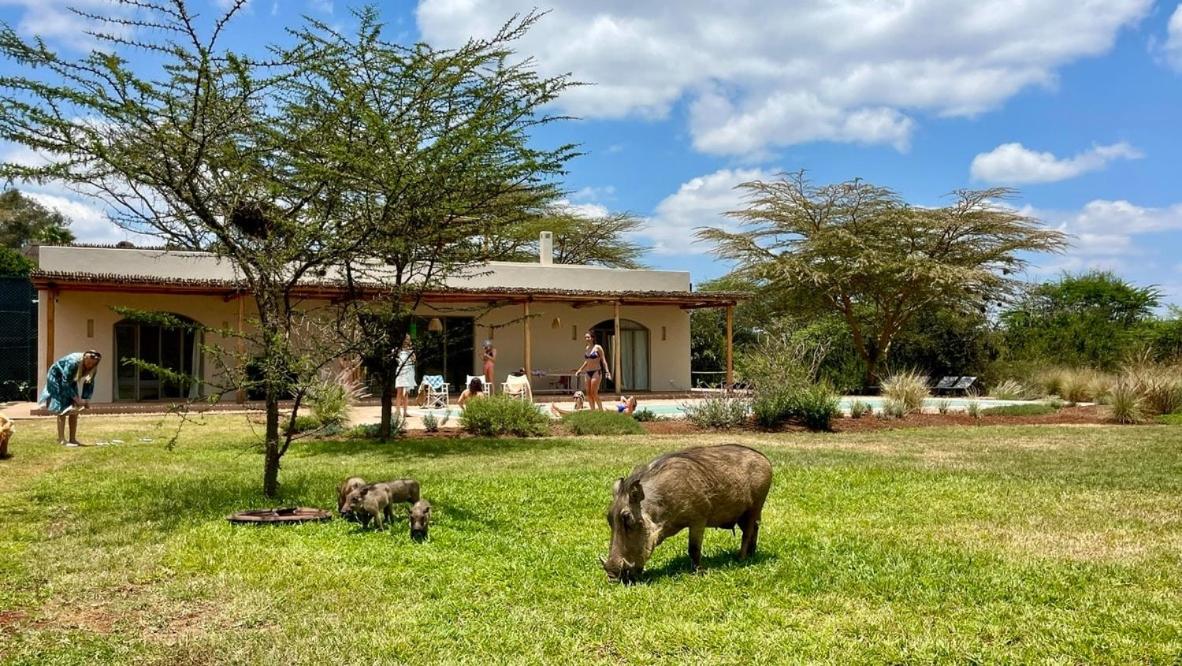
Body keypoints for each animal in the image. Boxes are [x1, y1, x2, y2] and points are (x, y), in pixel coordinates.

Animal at [601, 444, 772, 583]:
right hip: (741, 514)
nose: (612, 575)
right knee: (755, 529)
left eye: (628, 519)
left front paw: (700, 573)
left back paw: (741, 559)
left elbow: (694, 549)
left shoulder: (698, 520)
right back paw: (752, 554)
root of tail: (765, 458)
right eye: (609, 518)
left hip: (754, 507)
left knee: (748, 533)